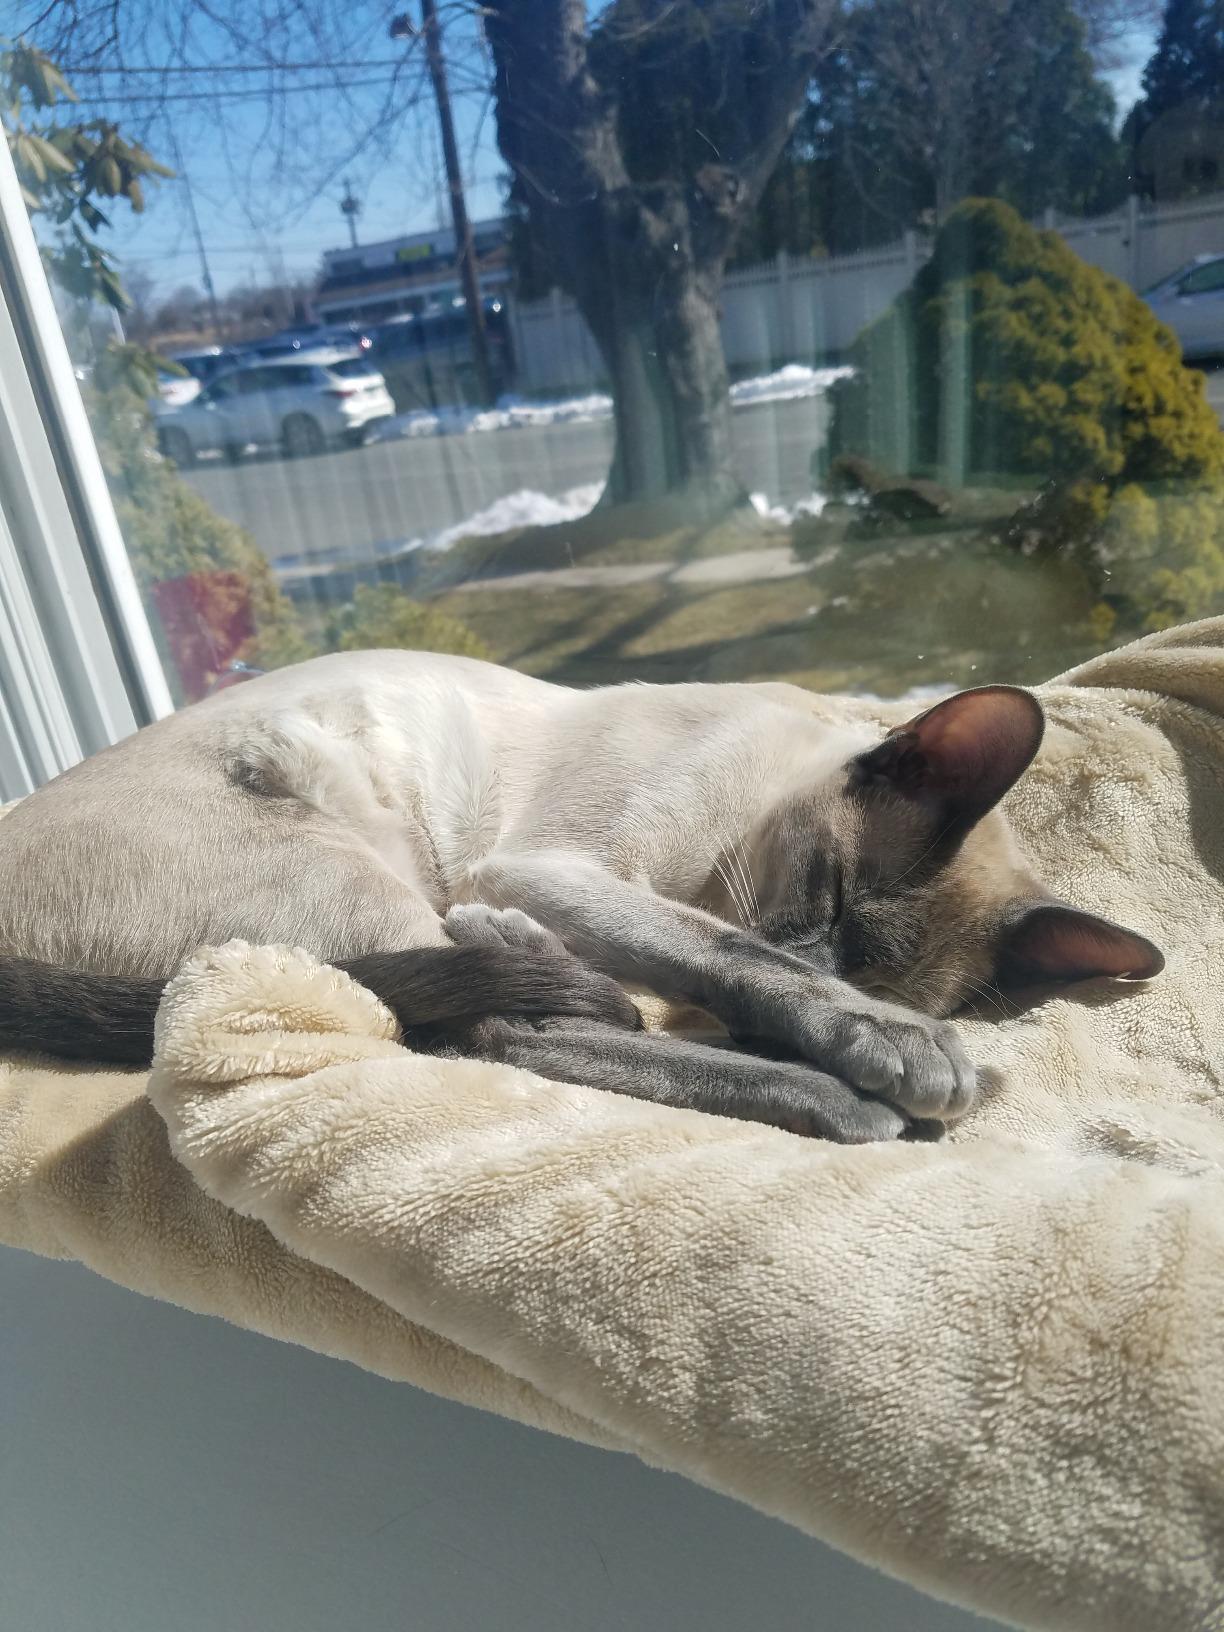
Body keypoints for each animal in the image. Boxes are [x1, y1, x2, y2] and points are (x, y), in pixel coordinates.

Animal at [0, 650, 1162, 1142]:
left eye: (847, 923)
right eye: (827, 898)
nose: (828, 964)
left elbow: (703, 974)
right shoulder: (562, 870)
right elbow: (729, 952)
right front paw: (898, 1054)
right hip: (355, 858)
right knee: (497, 1029)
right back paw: (846, 1102)